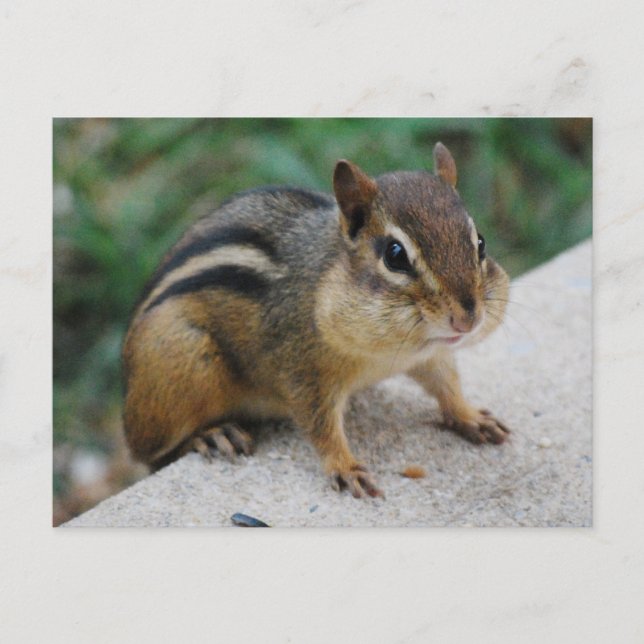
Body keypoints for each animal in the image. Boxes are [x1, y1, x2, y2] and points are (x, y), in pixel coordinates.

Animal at [122, 142, 510, 498]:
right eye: (395, 255)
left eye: (480, 242)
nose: (468, 318)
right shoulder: (302, 369)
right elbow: (320, 427)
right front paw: (346, 466)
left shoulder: (429, 355)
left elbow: (446, 383)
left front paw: (470, 416)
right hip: (182, 362)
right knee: (152, 451)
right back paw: (212, 435)